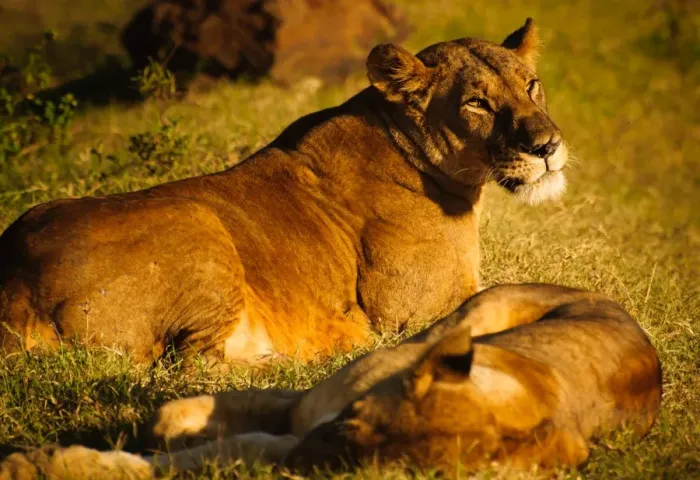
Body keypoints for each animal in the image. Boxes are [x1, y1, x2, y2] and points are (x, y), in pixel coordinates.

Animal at [0, 19, 569, 365]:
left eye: (532, 85)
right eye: (477, 103)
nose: (547, 146)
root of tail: (15, 284)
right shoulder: (413, 311)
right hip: (198, 223)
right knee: (191, 366)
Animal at [0, 284, 662, 478]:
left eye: (384, 475)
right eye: (355, 420)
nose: (304, 463)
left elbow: (212, 452)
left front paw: (47, 464)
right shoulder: (307, 402)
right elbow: (203, 410)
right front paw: (171, 424)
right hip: (469, 315)